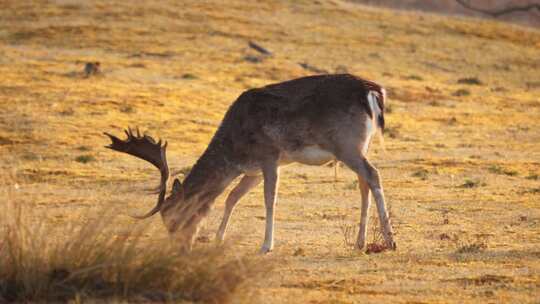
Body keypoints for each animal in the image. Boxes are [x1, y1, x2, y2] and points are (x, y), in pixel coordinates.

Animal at [106, 74, 396, 254]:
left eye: (172, 215)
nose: (180, 247)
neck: (236, 151)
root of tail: (372, 91)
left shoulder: (270, 157)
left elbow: (269, 199)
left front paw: (266, 245)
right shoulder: (252, 171)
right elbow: (231, 198)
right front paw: (218, 239)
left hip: (346, 144)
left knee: (373, 174)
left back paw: (390, 240)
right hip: (360, 145)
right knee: (364, 183)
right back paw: (360, 242)